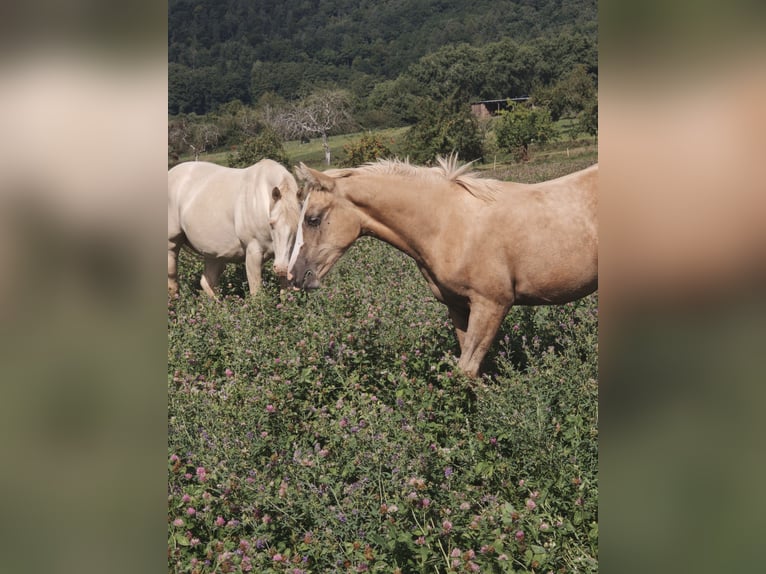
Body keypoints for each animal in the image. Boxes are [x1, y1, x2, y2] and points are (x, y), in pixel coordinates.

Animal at [168, 159, 304, 298]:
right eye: (271, 224)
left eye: (299, 225)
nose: (282, 268)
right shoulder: (253, 254)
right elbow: (257, 293)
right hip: (172, 245)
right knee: (172, 281)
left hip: (214, 254)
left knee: (207, 282)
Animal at [288, 156, 598, 377]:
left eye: (313, 219)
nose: (296, 276)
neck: (449, 224)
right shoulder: (458, 306)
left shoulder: (492, 304)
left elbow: (466, 370)